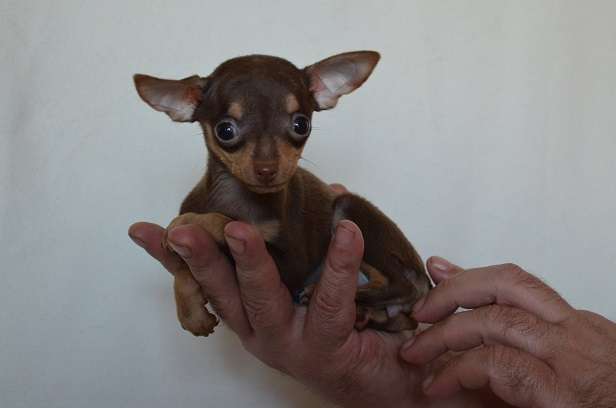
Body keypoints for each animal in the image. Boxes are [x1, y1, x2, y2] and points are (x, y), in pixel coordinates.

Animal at [134, 52, 434, 336]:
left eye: (302, 125)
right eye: (225, 130)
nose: (267, 169)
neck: (240, 198)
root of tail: (425, 282)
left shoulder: (290, 266)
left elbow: (225, 222)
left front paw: (190, 222)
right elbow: (183, 270)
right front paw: (191, 311)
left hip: (350, 210)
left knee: (402, 284)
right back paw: (366, 315)